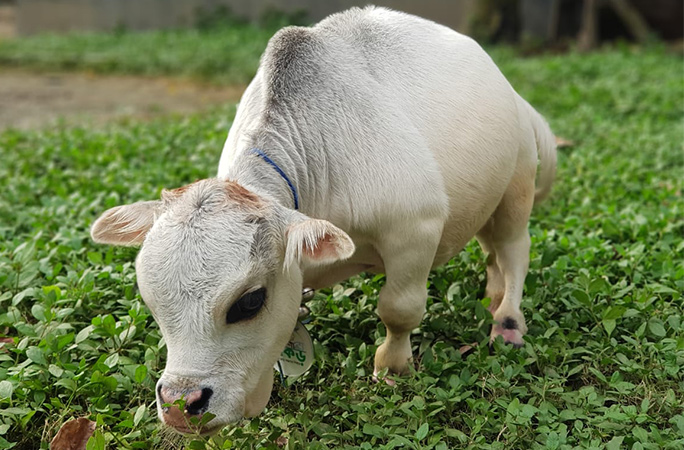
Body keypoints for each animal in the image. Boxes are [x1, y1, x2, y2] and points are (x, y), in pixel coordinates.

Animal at [88, 6, 556, 436]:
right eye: (150, 298)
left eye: (249, 301)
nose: (180, 406)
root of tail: (515, 97)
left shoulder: (415, 228)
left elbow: (399, 309)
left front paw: (392, 367)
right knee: (492, 252)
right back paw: (493, 294)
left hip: (516, 188)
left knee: (513, 251)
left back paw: (507, 321)